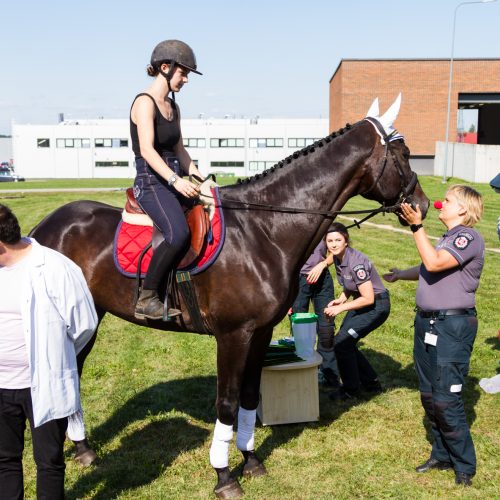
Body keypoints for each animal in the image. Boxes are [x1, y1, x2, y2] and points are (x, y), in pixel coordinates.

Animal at [30, 103, 430, 498]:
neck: (263, 232)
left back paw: (83, 449)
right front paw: (224, 476)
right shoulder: (233, 335)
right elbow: (227, 402)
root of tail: (44, 227)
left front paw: (251, 460)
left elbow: (250, 397)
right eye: (403, 154)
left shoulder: (261, 333)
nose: (422, 205)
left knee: (75, 370)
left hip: (90, 317)